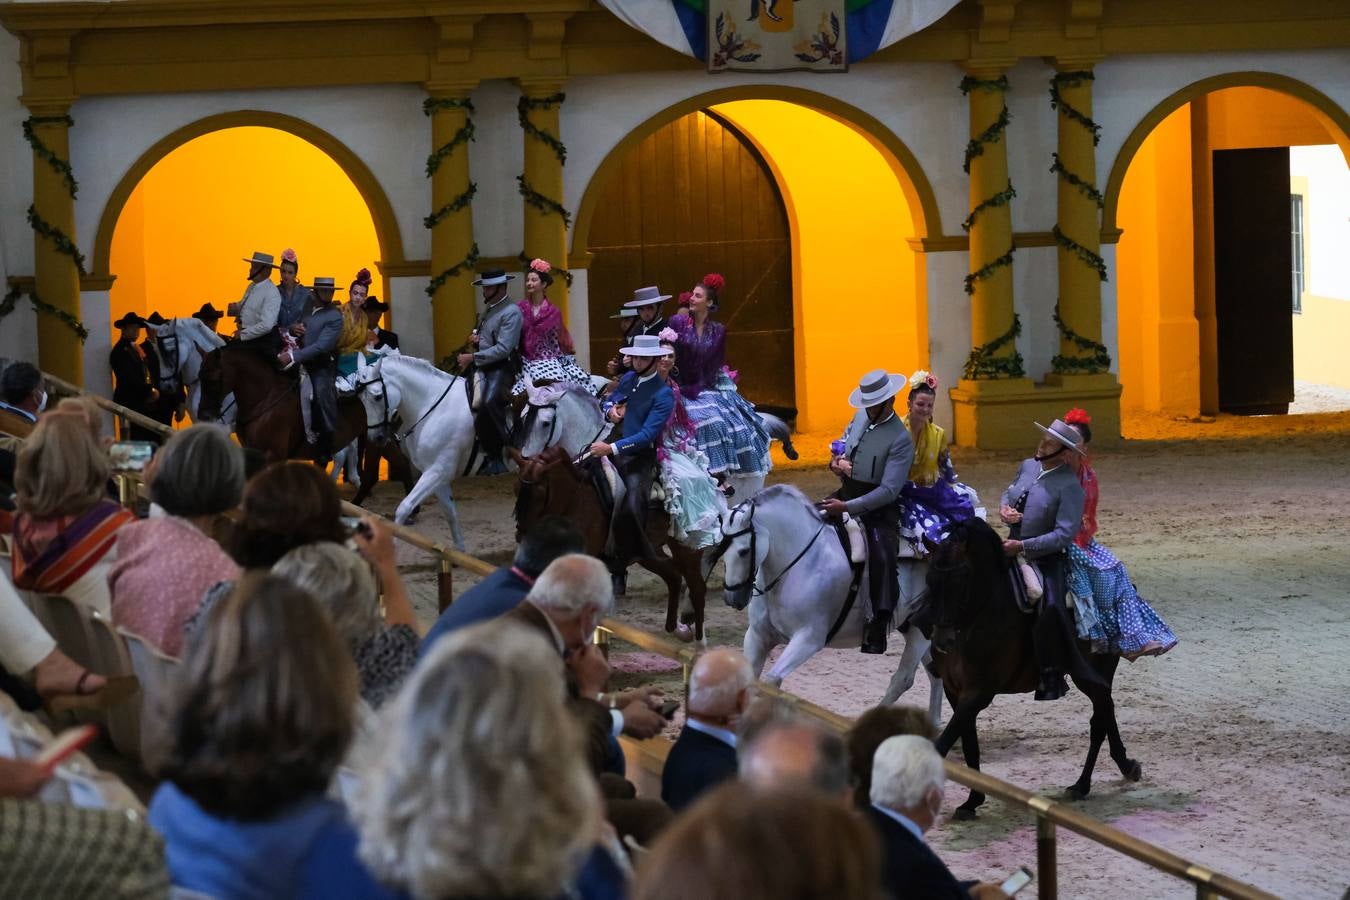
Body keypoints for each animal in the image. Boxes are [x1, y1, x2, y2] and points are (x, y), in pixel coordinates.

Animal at [351, 353, 477, 550]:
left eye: (378, 397)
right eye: (361, 400)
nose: (376, 438)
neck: (433, 407)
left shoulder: (439, 470)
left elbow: (404, 507)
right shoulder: (436, 474)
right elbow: (451, 514)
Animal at [510, 442, 712, 639]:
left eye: (538, 494)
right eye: (516, 488)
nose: (521, 535)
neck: (575, 501)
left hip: (686, 550)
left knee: (697, 589)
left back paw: (699, 640)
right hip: (647, 553)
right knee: (674, 576)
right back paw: (672, 628)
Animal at [718, 483, 939, 723]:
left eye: (743, 551)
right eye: (721, 548)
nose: (732, 598)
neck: (798, 565)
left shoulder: (808, 639)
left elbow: (771, 682)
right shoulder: (757, 635)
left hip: (921, 633)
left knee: (903, 679)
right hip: (912, 626)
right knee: (935, 673)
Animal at [918, 512, 1139, 814]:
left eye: (962, 579)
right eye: (929, 579)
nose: (943, 641)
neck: (977, 618)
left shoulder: (979, 692)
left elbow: (945, 742)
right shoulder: (956, 691)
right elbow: (969, 742)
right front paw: (973, 801)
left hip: (1094, 673)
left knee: (1100, 719)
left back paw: (1093, 780)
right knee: (1104, 715)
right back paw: (1104, 775)